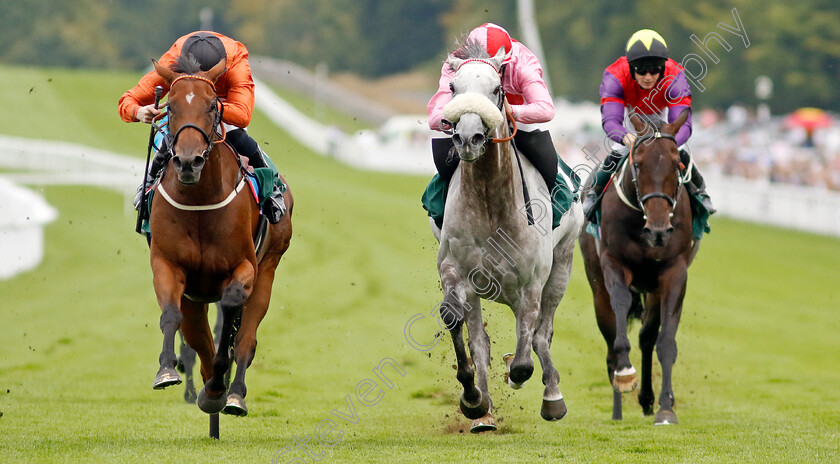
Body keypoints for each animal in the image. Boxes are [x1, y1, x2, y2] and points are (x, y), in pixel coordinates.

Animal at [149, 56, 294, 418]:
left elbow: (232, 316)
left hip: (269, 265)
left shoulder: (244, 266)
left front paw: (221, 380)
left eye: (213, 105)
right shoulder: (168, 264)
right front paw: (167, 369)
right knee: (197, 335)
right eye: (170, 106)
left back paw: (234, 393)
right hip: (195, 295)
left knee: (245, 337)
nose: (188, 161)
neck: (200, 202)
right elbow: (173, 317)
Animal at [434, 39, 584, 432]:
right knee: (482, 338)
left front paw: (517, 376)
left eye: (497, 89)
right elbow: (457, 322)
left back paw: (552, 397)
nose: (468, 138)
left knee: (541, 334)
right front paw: (473, 398)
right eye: (452, 88)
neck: (491, 202)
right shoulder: (456, 272)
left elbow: (524, 356)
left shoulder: (532, 282)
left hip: (561, 267)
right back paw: (484, 411)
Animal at [580, 109, 700, 424]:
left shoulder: (674, 272)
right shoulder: (614, 263)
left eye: (676, 163)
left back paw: (647, 399)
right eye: (638, 163)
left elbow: (664, 341)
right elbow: (620, 309)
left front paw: (666, 408)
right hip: (597, 286)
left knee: (647, 337)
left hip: (652, 288)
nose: (658, 230)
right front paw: (625, 374)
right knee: (610, 340)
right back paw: (618, 406)